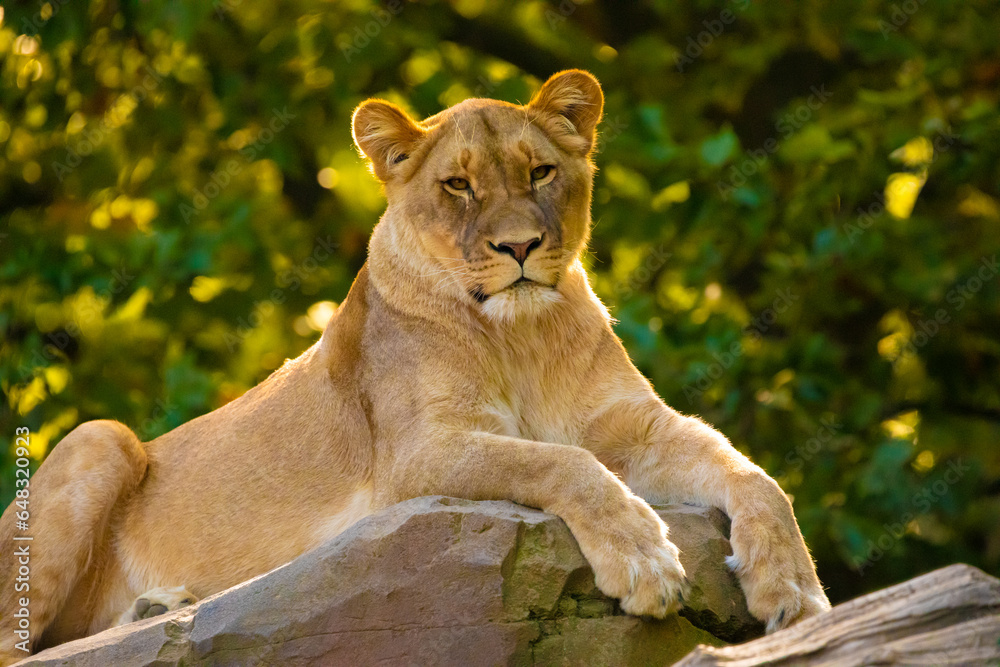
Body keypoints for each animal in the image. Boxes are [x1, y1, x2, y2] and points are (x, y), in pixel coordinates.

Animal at [0, 70, 830, 663]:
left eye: (540, 173)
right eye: (457, 185)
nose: (520, 247)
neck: (520, 337)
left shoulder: (635, 426)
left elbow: (757, 476)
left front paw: (795, 590)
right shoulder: (417, 456)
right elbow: (560, 463)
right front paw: (644, 558)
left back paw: (156, 608)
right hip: (101, 438)